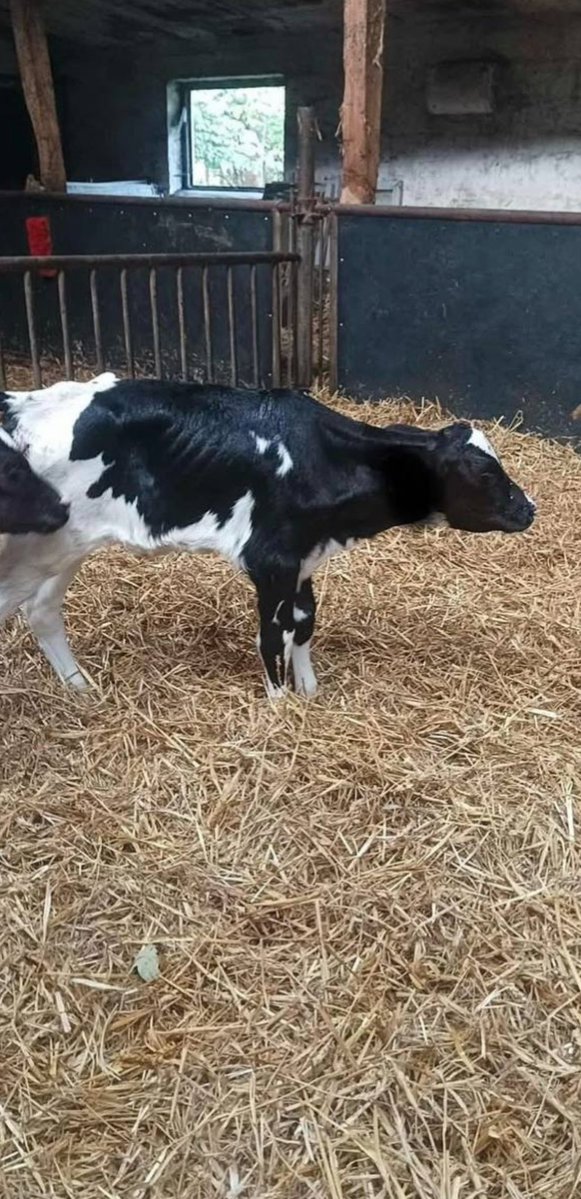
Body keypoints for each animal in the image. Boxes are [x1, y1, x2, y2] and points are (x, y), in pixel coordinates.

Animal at [0, 374, 535, 697]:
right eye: (485, 474)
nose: (529, 508)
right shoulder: (270, 559)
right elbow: (273, 635)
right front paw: (280, 702)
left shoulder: (302, 557)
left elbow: (305, 622)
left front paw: (310, 691)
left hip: (62, 547)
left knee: (41, 610)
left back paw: (81, 688)